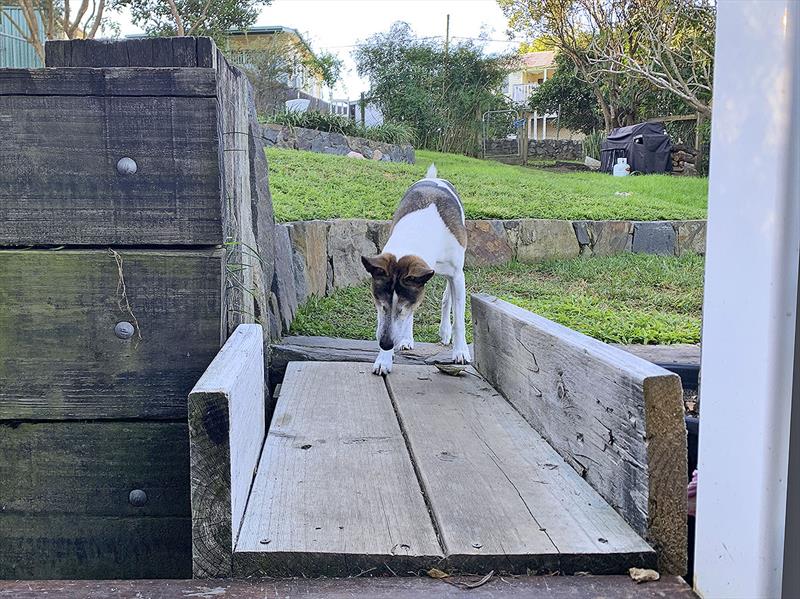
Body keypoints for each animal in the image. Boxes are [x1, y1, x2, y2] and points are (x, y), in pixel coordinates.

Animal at [360, 164, 468, 376]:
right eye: (381, 305)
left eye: (401, 308)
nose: (386, 344)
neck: (419, 230)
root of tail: (433, 178)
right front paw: (384, 358)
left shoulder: (458, 276)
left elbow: (459, 319)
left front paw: (460, 351)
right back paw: (406, 339)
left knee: (447, 298)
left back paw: (445, 332)